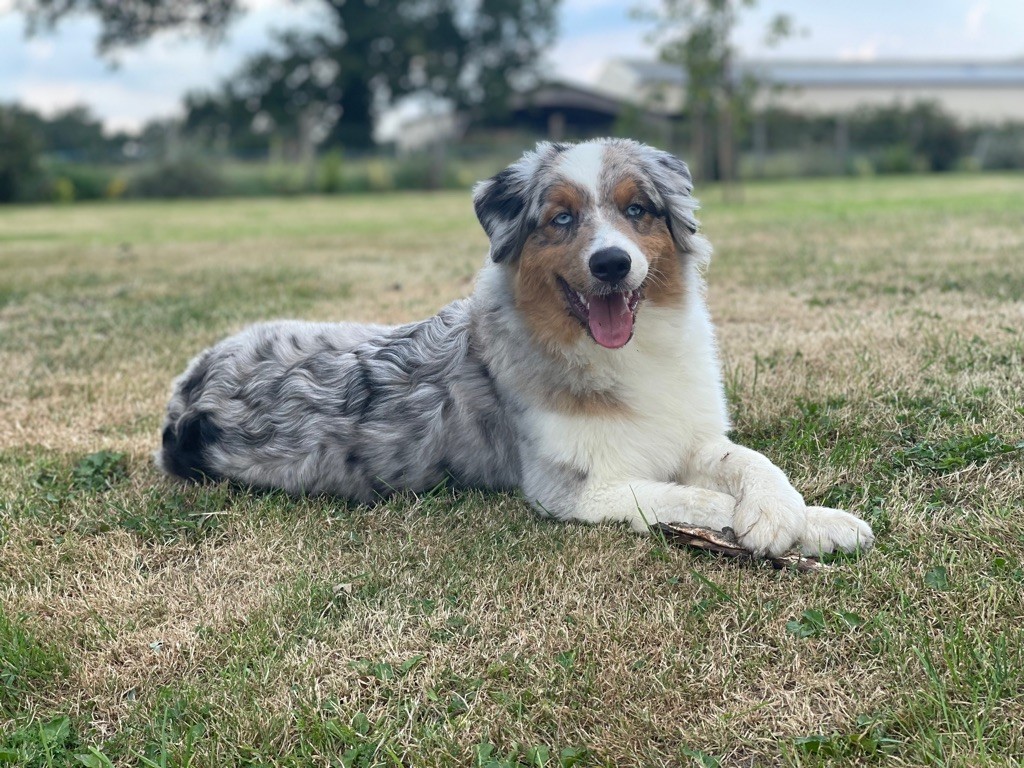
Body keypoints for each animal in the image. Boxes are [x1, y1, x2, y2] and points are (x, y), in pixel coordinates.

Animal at [158, 138, 873, 556]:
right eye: (560, 219)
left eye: (637, 210)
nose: (612, 263)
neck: (625, 354)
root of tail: (186, 390)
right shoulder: (577, 488)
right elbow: (695, 499)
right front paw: (801, 526)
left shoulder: (689, 434)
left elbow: (751, 463)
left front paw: (802, 514)